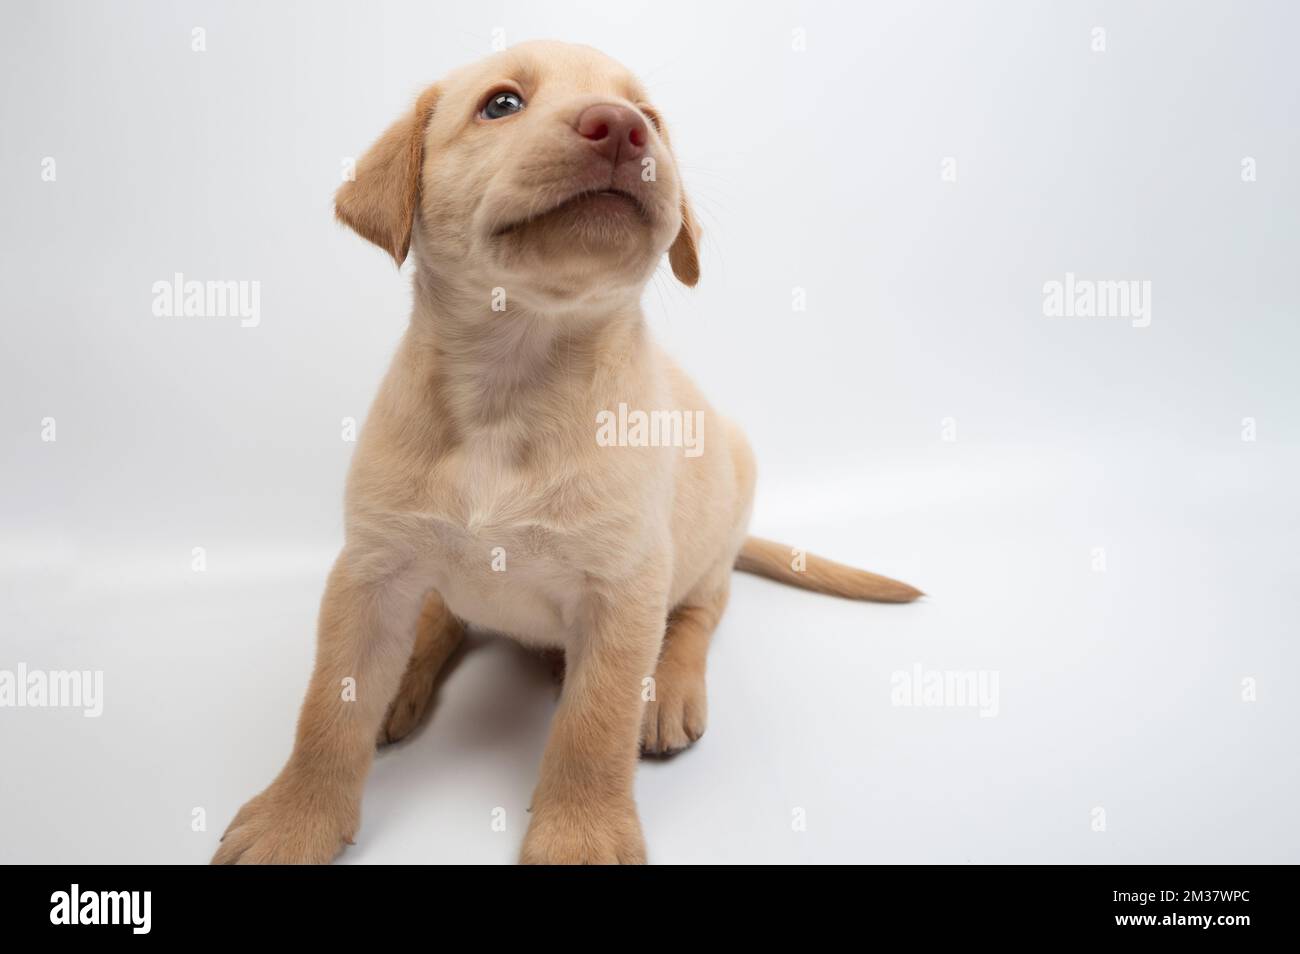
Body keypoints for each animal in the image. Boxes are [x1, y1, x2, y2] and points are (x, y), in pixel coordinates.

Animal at [213, 42, 920, 868]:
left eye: (648, 116)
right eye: (501, 104)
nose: (621, 128)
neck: (511, 384)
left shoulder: (623, 588)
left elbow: (594, 726)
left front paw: (581, 832)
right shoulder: (368, 570)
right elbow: (328, 708)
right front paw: (294, 818)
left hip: (725, 507)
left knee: (701, 610)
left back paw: (668, 690)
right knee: (443, 614)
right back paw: (411, 672)